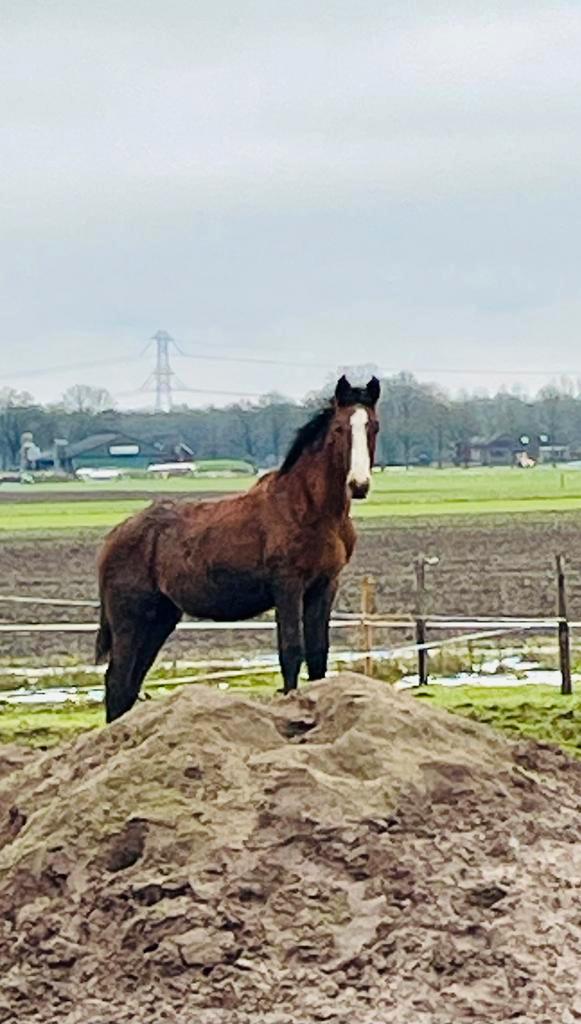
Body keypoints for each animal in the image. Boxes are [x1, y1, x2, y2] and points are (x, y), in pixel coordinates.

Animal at [96, 374, 381, 721]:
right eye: (339, 428)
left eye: (373, 426)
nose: (359, 485)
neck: (308, 509)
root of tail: (115, 537)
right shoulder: (288, 586)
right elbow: (291, 651)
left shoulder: (324, 585)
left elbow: (317, 654)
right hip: (130, 620)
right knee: (117, 681)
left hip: (159, 619)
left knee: (129, 685)